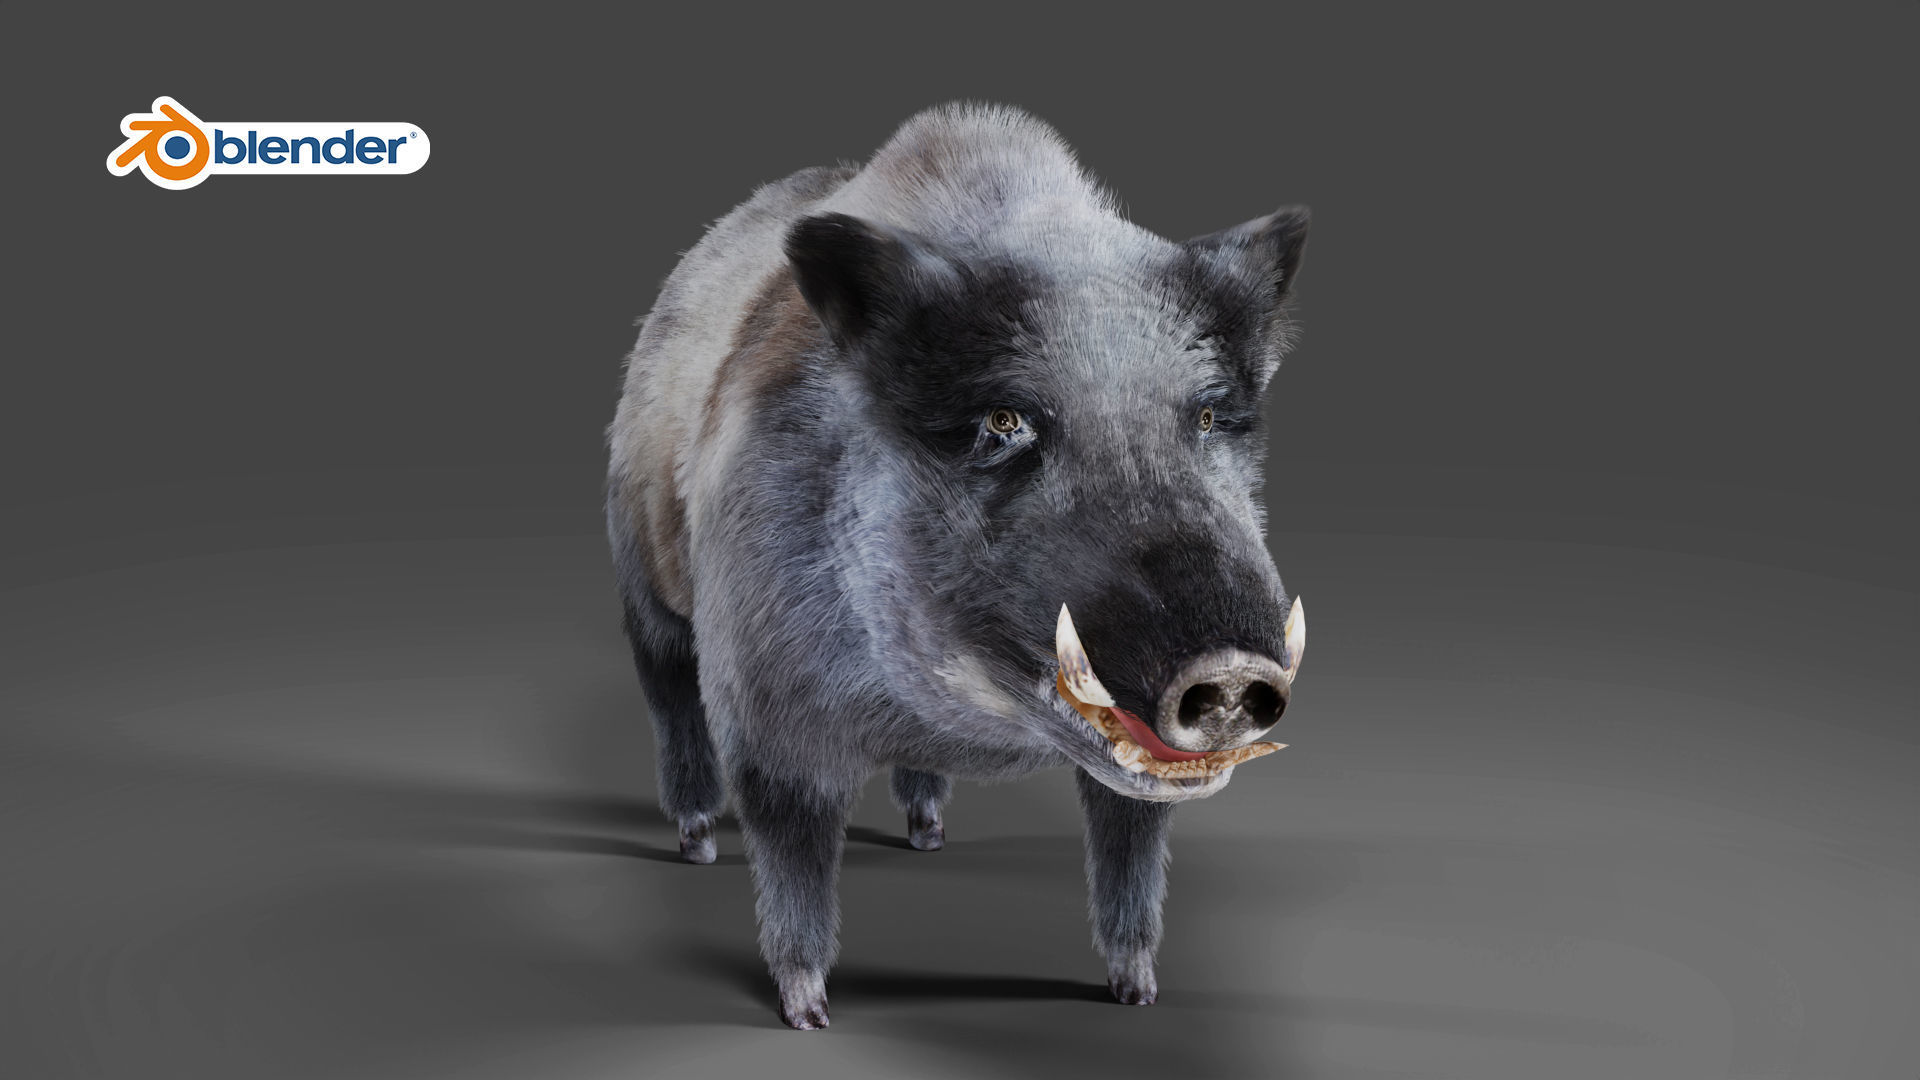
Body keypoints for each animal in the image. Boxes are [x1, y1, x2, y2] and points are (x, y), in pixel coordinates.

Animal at [605, 102, 1309, 1029]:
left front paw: (1136, 994)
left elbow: (1130, 844)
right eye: (1003, 422)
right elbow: (792, 848)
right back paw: (696, 844)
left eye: (1205, 415)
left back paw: (928, 835)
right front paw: (808, 1014)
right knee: (666, 694)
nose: (1227, 668)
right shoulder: (766, 704)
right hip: (641, 576)